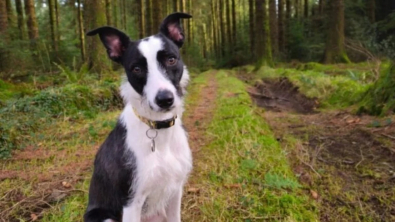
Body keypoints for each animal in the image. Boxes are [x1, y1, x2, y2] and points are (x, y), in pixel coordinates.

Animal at [84, 13, 193, 222]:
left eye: (171, 60)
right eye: (136, 69)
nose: (164, 100)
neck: (158, 128)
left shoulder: (176, 191)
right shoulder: (131, 202)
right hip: (103, 216)